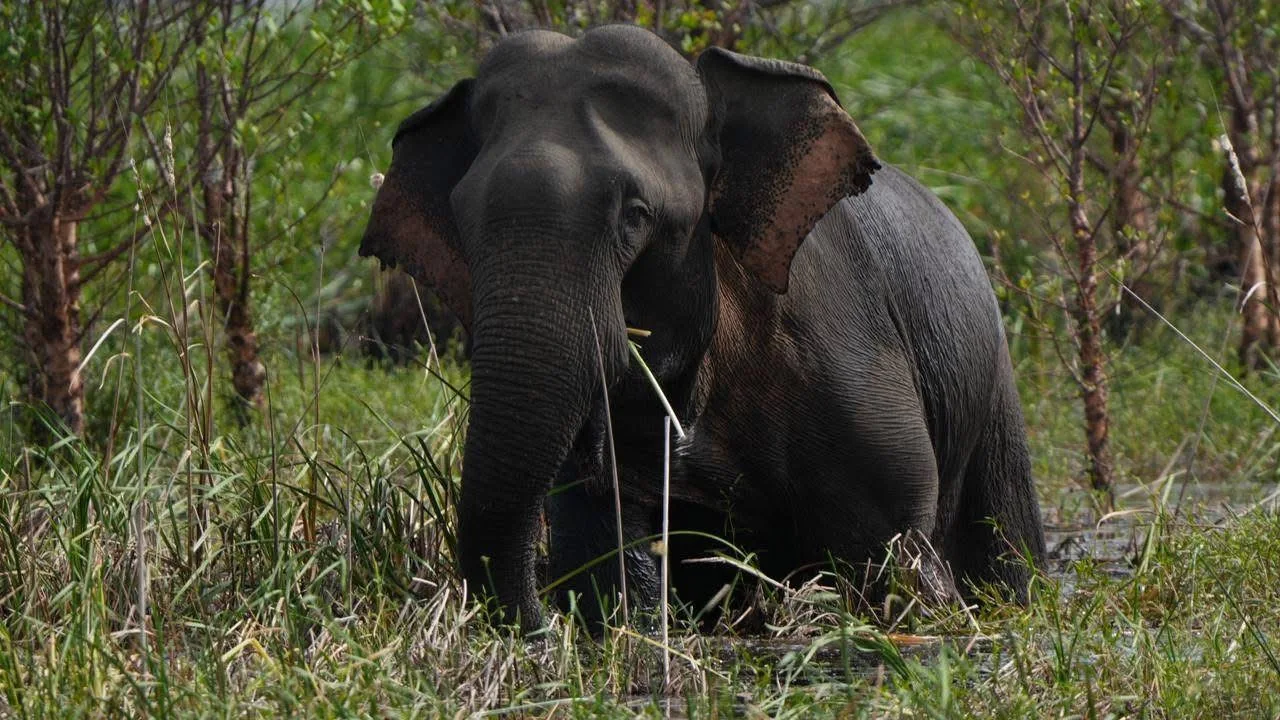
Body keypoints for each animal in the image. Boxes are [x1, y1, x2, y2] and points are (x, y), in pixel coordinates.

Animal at [360, 24, 1046, 632]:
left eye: (635, 216)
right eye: (461, 218)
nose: (540, 626)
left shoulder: (844, 349)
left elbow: (886, 535)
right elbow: (603, 538)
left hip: (994, 389)